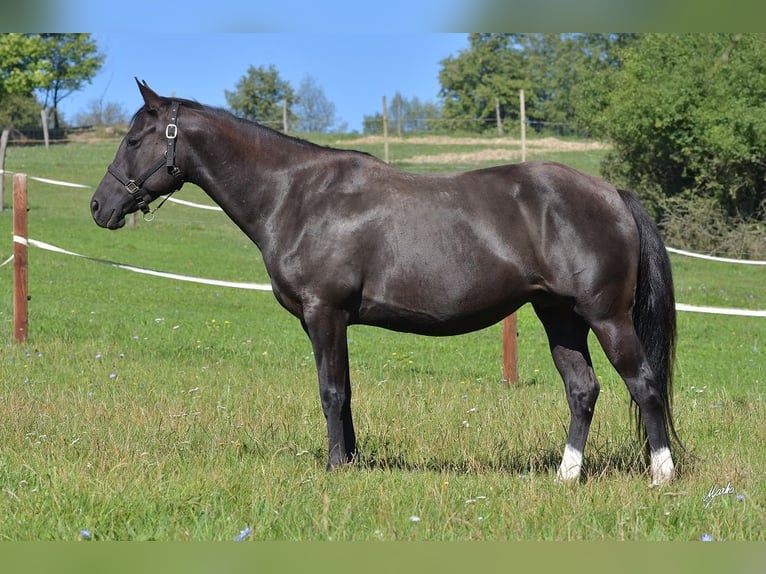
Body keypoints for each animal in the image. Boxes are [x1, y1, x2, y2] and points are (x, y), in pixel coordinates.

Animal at [91, 80, 684, 486]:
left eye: (135, 139)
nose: (100, 206)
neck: (297, 195)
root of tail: (612, 194)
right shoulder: (330, 322)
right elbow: (345, 391)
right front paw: (351, 461)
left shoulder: (324, 313)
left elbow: (330, 391)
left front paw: (335, 467)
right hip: (559, 316)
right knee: (582, 390)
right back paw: (566, 476)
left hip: (606, 317)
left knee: (644, 385)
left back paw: (662, 475)